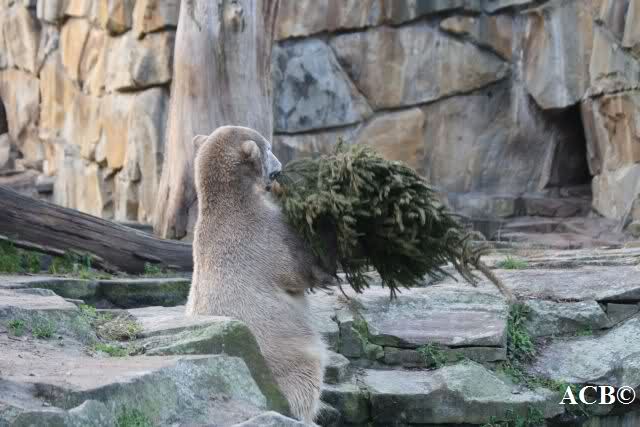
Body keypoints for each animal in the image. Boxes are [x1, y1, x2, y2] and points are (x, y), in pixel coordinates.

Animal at [185, 125, 329, 424]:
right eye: (269, 147)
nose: (280, 167)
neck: (231, 202)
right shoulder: (263, 232)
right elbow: (298, 269)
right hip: (287, 356)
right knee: (309, 370)